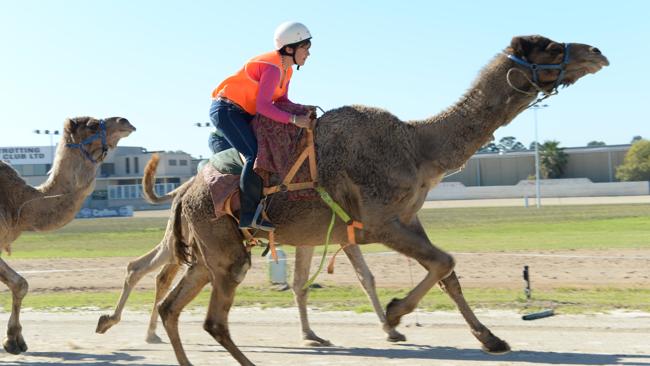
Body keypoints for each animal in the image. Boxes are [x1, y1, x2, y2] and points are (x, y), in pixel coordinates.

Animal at [0, 116, 135, 354]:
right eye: (91, 125)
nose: (125, 121)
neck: (18, 203)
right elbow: (19, 284)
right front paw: (12, 340)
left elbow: (21, 284)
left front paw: (15, 340)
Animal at [95, 154, 404, 344]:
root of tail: (182, 188)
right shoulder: (336, 234)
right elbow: (360, 278)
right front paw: (389, 329)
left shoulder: (317, 237)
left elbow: (307, 283)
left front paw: (311, 335)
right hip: (185, 237)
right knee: (148, 270)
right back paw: (120, 324)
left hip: (182, 240)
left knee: (150, 270)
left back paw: (138, 329)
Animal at [162, 35, 608, 366]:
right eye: (549, 47)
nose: (596, 52)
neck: (417, 146)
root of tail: (182, 195)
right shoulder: (378, 223)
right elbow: (444, 262)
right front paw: (394, 314)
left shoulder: (408, 218)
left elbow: (448, 273)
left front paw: (491, 339)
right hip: (224, 246)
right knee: (213, 319)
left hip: (206, 254)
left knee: (172, 306)